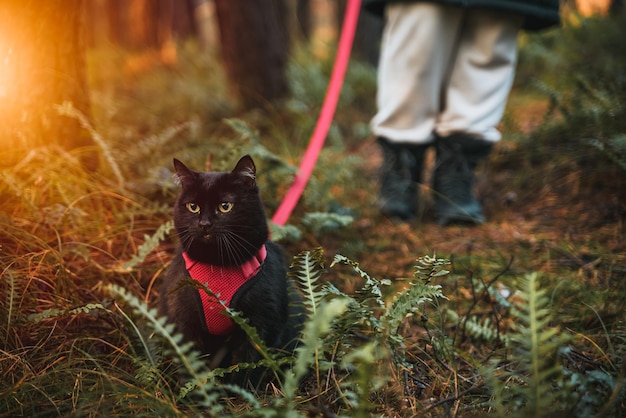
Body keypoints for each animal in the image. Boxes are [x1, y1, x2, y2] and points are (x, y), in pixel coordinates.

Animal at [160, 155, 304, 386]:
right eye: (193, 206)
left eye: (225, 206)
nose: (204, 223)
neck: (217, 266)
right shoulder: (183, 321)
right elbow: (191, 365)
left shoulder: (260, 323)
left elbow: (246, 366)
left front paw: (237, 391)